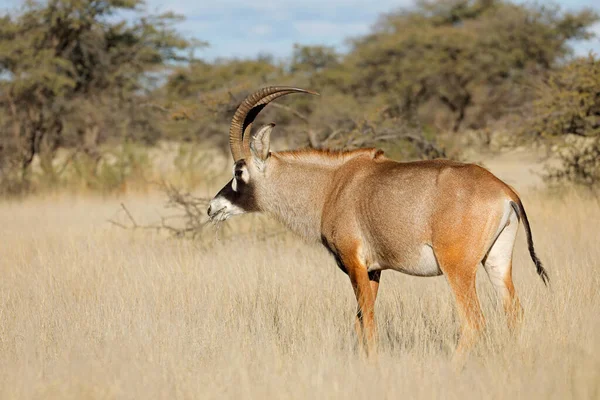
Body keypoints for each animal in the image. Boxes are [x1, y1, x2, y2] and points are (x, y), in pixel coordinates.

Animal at [207, 86, 548, 358]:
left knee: (474, 322)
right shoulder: (373, 271)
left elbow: (368, 321)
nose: (212, 208)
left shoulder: (354, 265)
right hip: (496, 263)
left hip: (458, 269)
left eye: (239, 171)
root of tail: (505, 191)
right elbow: (360, 321)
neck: (332, 186)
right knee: (514, 313)